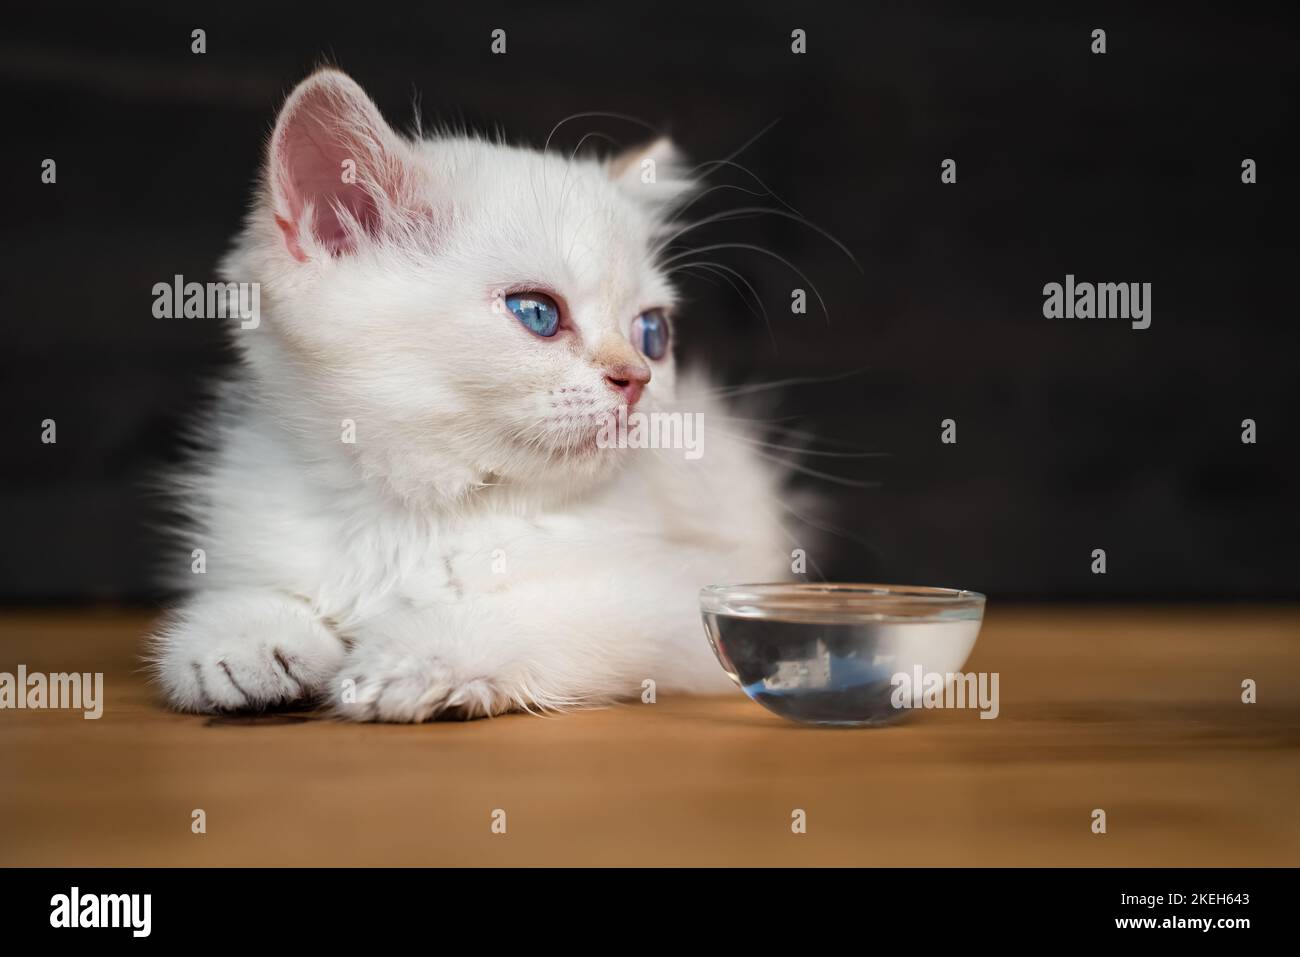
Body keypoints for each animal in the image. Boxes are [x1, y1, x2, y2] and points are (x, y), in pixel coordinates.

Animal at [153, 70, 800, 722]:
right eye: (536, 312)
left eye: (653, 333)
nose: (637, 378)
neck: (414, 510)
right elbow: (252, 588)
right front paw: (245, 639)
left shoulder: (680, 595)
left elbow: (558, 611)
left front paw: (421, 654)